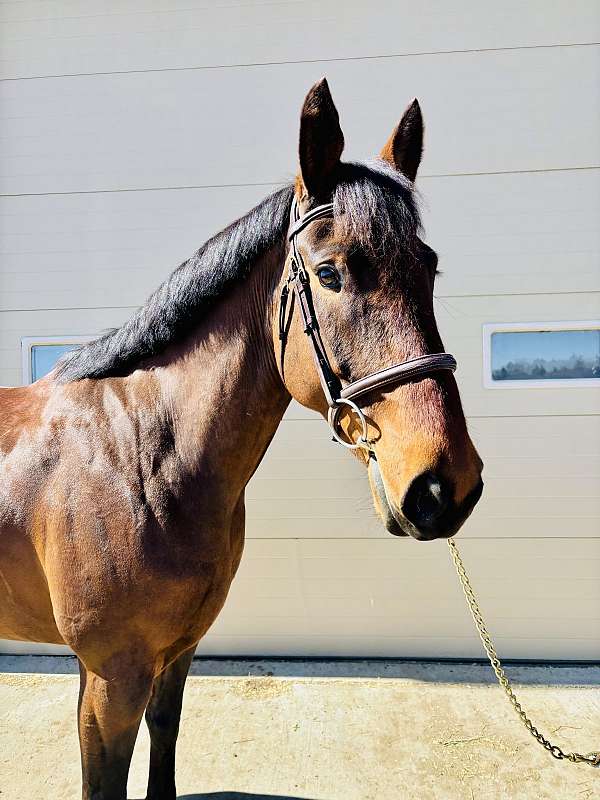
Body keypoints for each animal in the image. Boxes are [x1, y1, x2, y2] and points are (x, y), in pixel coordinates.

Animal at [0, 78, 483, 799]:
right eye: (331, 273)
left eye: (428, 268)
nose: (444, 484)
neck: (142, 458)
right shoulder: (111, 676)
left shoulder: (176, 655)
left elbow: (164, 742)